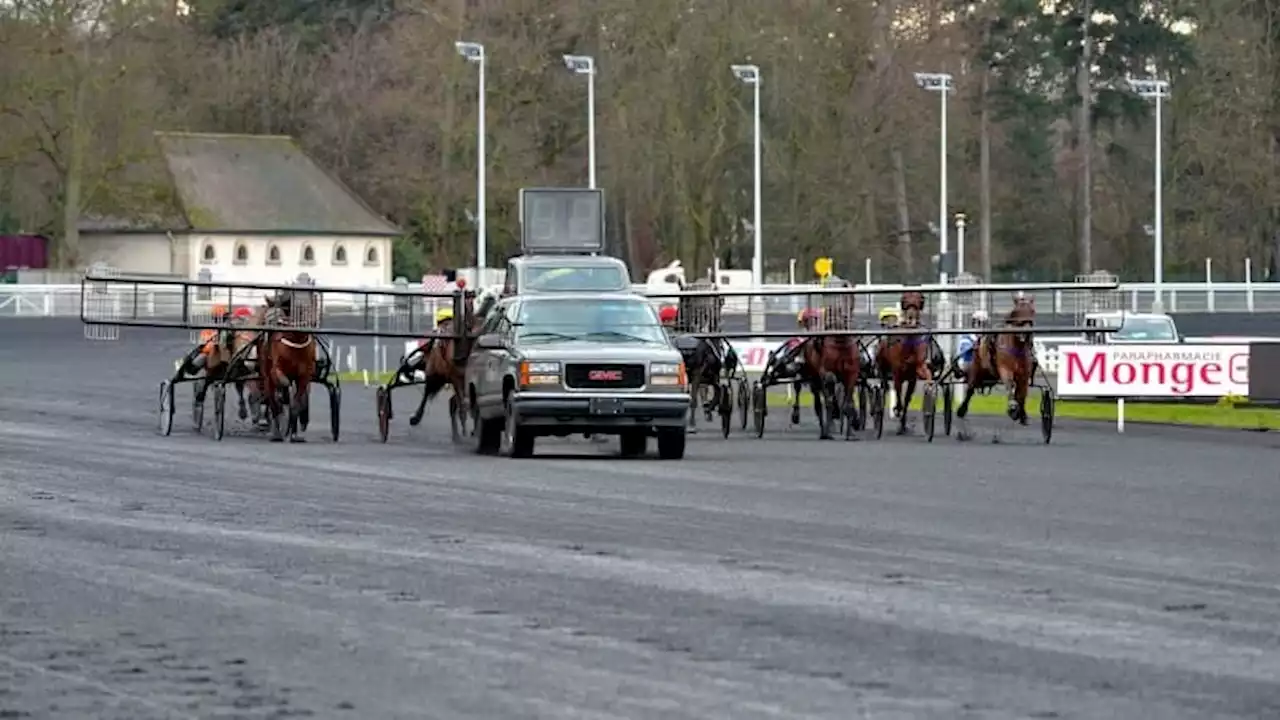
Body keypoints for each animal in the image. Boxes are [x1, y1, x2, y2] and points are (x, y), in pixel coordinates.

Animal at [254, 293, 314, 440]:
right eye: (268, 317)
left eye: (275, 315)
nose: (266, 334)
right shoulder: (276, 370)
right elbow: (283, 385)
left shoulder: (304, 375)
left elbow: (297, 402)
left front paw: (294, 433)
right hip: (266, 372)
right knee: (272, 399)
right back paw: (275, 431)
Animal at [798, 301, 860, 438]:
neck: (840, 345)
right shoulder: (824, 371)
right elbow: (829, 383)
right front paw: (829, 427)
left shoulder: (851, 373)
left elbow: (849, 402)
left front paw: (851, 433)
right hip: (813, 377)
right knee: (819, 403)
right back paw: (825, 431)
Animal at [875, 289, 936, 435]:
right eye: (906, 303)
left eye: (917, 304)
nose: (910, 318)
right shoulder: (897, 373)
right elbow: (898, 393)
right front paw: (897, 409)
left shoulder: (915, 373)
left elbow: (908, 398)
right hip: (882, 365)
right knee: (884, 385)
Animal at [957, 289, 1034, 438]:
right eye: (1016, 312)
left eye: (1032, 311)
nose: (1026, 333)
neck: (1016, 347)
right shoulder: (1004, 369)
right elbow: (1010, 385)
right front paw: (1012, 408)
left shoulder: (1024, 374)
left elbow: (1022, 394)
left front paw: (1022, 414)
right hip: (976, 370)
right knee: (970, 389)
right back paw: (961, 410)